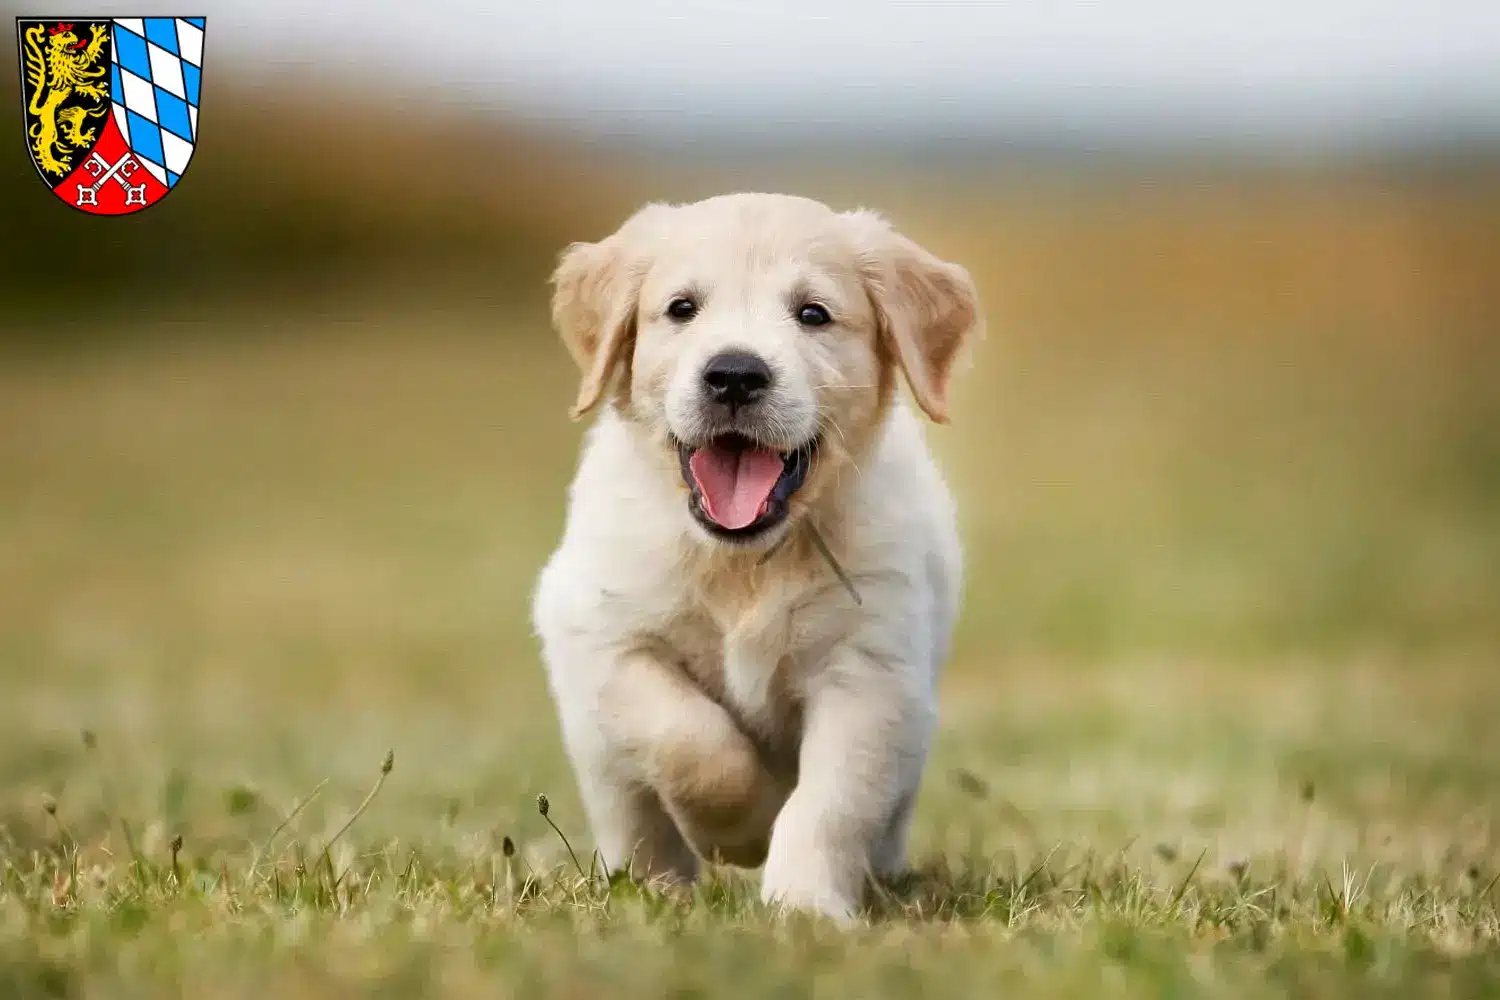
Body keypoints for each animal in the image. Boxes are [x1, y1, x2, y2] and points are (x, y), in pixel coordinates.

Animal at [531, 189, 984, 923]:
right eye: (682, 308)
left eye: (813, 314)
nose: (735, 374)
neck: (741, 561)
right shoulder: (600, 634)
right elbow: (685, 736)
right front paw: (739, 829)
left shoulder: (871, 673)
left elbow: (830, 803)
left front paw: (804, 906)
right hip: (597, 750)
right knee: (633, 815)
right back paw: (652, 886)